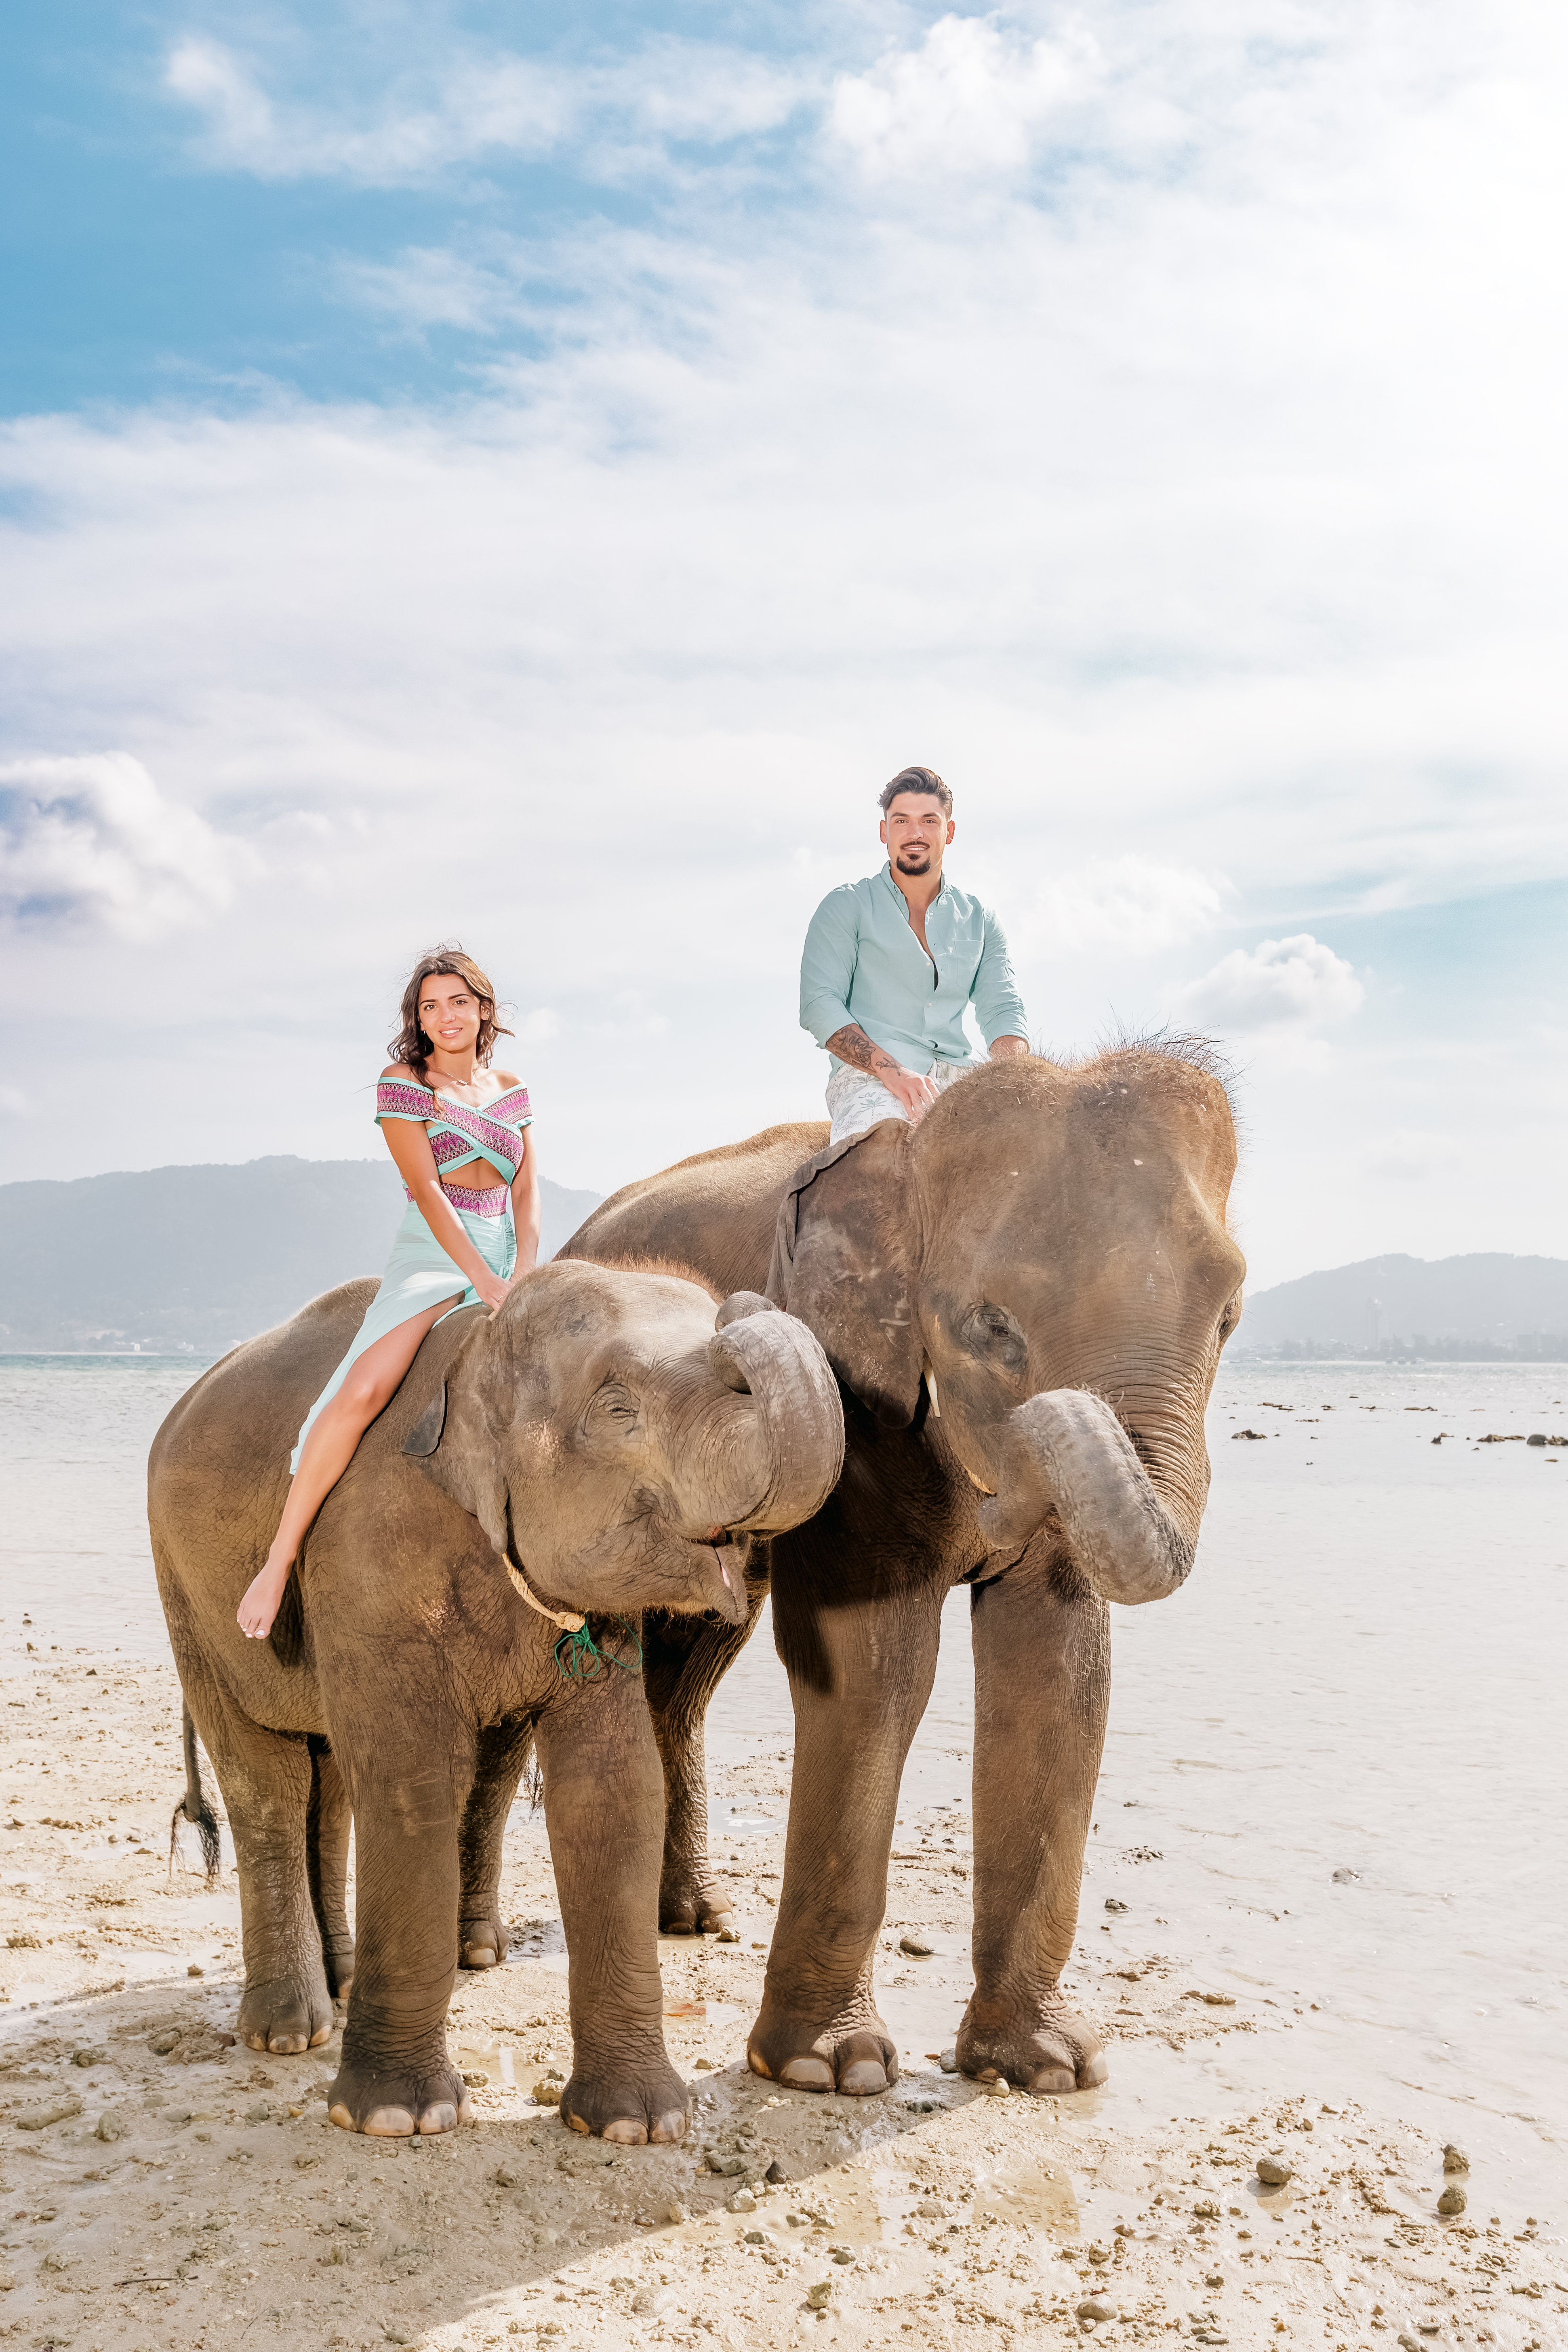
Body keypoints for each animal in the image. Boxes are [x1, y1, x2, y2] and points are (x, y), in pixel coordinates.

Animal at [148, 1258, 844, 2142]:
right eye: (617, 1408)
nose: (743, 1306)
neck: (481, 1347)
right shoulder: (366, 1558)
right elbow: (413, 1784)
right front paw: (398, 2119)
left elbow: (611, 1791)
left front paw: (639, 2127)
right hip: (191, 1597)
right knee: (267, 1781)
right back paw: (290, 2030)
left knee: (331, 1780)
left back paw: (345, 1980)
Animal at [560, 1041, 1244, 2098]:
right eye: (991, 1327)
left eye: (1227, 1316)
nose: (734, 1325)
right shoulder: (856, 1401)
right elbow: (874, 1663)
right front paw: (825, 2068)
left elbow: (1059, 1665)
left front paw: (1045, 2066)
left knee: (694, 1662)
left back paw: (695, 1915)